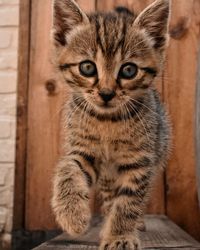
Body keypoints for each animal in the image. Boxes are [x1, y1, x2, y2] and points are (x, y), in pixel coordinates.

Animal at [50, 0, 171, 248]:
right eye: (87, 67)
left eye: (129, 70)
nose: (106, 94)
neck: (108, 121)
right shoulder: (84, 150)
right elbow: (68, 168)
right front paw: (72, 215)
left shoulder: (140, 162)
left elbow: (128, 203)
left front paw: (120, 236)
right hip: (107, 174)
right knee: (108, 194)